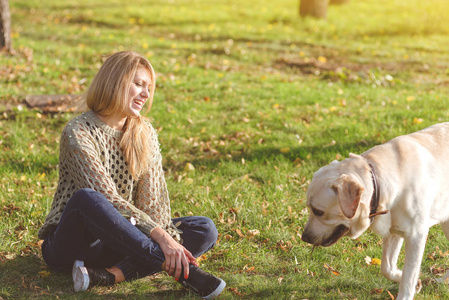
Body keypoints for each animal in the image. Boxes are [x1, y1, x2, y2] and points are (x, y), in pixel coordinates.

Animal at [300, 122, 448, 300]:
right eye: (309, 208)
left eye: (318, 211)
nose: (304, 237)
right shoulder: (394, 231)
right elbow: (387, 268)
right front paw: (414, 282)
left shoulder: (416, 235)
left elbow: (408, 276)